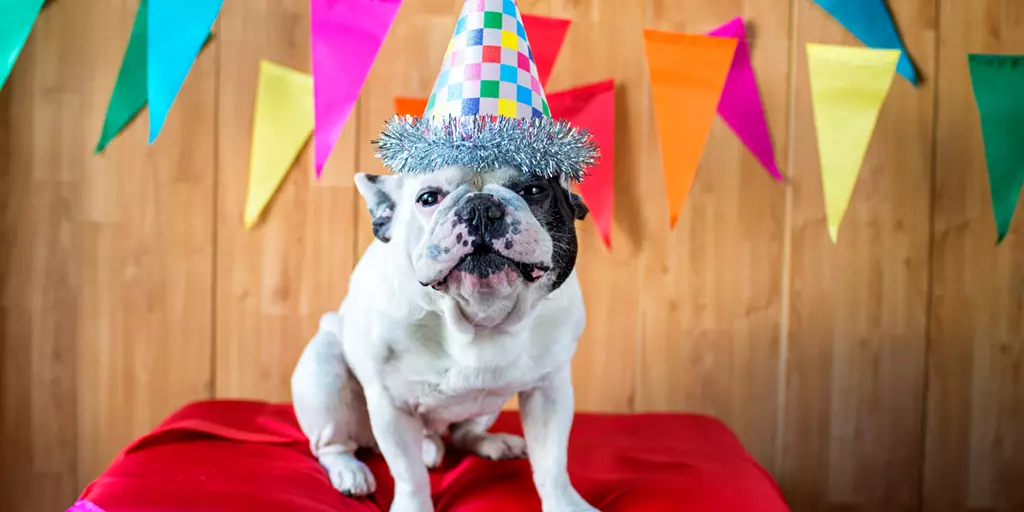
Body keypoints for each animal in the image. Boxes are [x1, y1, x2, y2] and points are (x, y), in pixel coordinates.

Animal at [288, 164, 598, 512]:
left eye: (533, 190)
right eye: (428, 198)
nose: (480, 207)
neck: (479, 318)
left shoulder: (549, 391)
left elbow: (552, 462)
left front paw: (565, 504)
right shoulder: (391, 405)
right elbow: (409, 475)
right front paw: (412, 506)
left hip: (489, 403)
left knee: (464, 434)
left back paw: (490, 443)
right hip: (323, 376)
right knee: (333, 445)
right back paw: (350, 471)